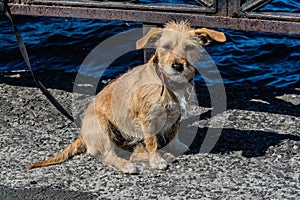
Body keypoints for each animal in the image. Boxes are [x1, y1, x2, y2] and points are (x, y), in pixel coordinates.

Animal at [28, 20, 225, 173]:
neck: (169, 83)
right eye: (166, 47)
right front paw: (156, 160)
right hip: (103, 125)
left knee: (132, 153)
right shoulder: (148, 119)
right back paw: (127, 165)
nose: (177, 66)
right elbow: (152, 142)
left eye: (189, 47)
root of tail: (83, 135)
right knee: (109, 155)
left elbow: (173, 133)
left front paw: (176, 147)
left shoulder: (176, 115)